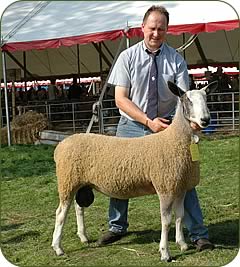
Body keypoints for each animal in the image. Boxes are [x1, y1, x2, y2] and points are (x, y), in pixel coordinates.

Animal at [51, 81, 218, 262]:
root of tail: (61, 145)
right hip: (67, 181)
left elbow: (180, 216)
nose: (206, 120)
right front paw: (165, 252)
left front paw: (182, 244)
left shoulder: (180, 187)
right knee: (61, 213)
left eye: (206, 99)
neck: (175, 140)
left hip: (81, 182)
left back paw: (83, 237)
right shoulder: (165, 187)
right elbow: (166, 221)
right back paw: (58, 247)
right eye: (188, 101)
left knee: (78, 207)